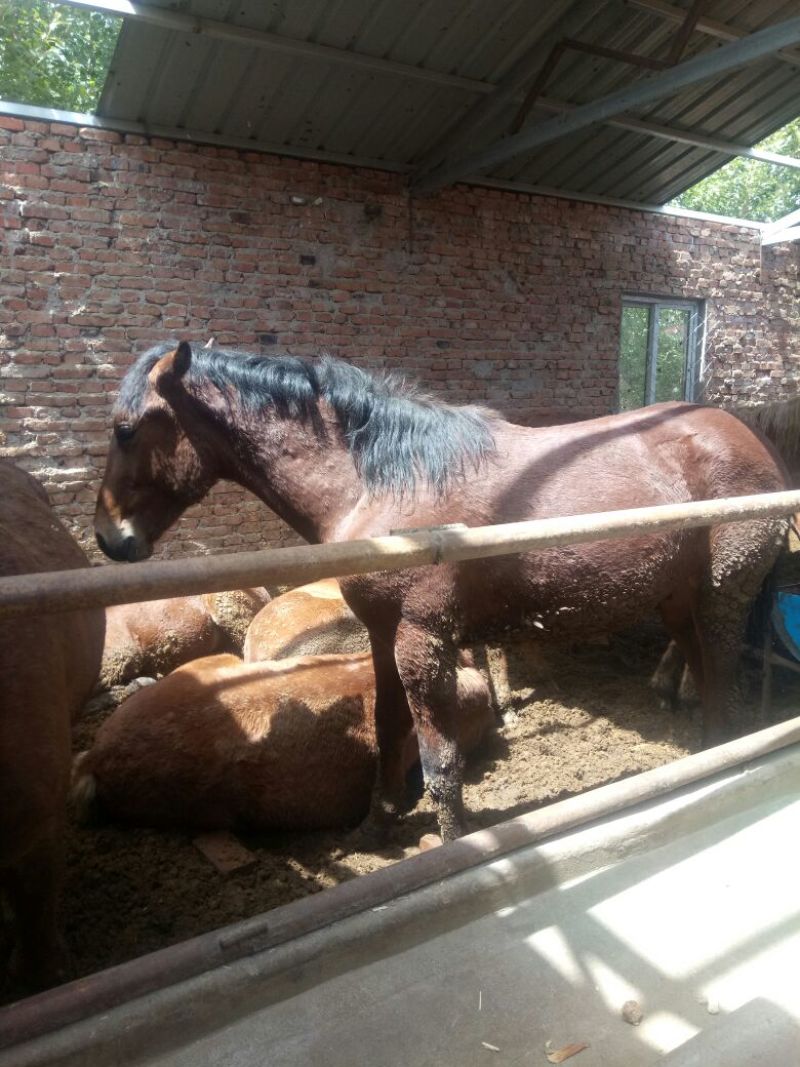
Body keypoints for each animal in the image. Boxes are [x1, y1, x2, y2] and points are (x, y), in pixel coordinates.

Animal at [94, 341, 790, 841]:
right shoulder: (382, 636)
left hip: (721, 600)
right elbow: (388, 728)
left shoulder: (423, 639)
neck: (380, 481)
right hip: (680, 604)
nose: (110, 538)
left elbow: (440, 760)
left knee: (720, 686)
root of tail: (751, 440)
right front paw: (374, 827)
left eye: (128, 429)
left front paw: (451, 846)